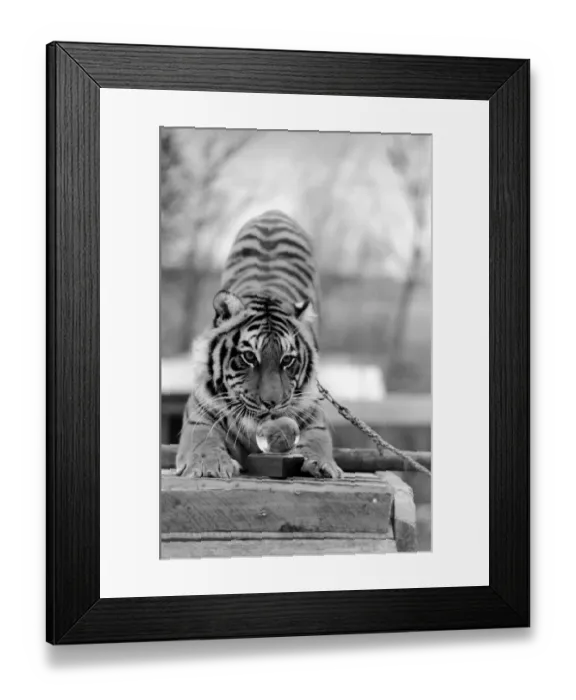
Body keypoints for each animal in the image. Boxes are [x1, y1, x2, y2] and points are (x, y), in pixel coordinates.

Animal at [175, 209, 342, 479]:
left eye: (287, 360)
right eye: (249, 357)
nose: (271, 404)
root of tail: (273, 212)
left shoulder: (313, 412)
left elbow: (317, 439)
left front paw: (321, 463)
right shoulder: (200, 414)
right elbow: (203, 439)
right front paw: (209, 466)